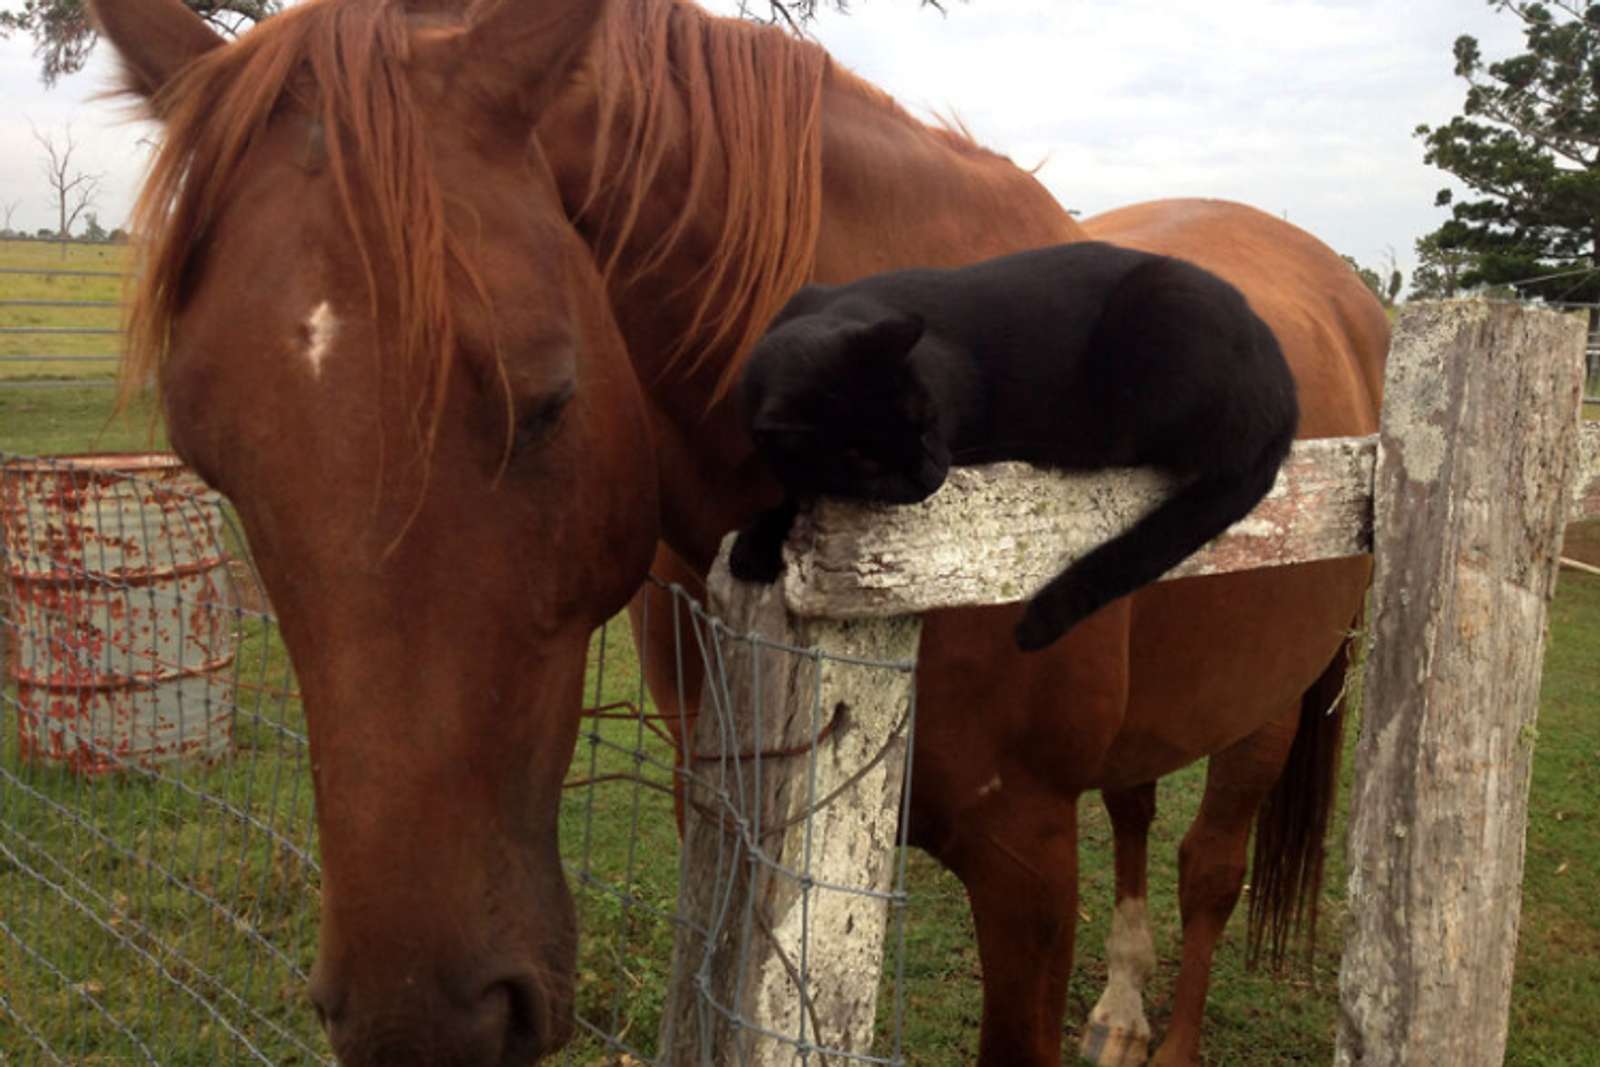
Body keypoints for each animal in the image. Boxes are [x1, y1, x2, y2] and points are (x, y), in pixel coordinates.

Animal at [732, 241, 1292, 652]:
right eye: (860, 458)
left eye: (923, 419)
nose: (926, 472)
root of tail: (1286, 396)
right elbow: (794, 490)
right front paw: (759, 536)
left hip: (1166, 305)